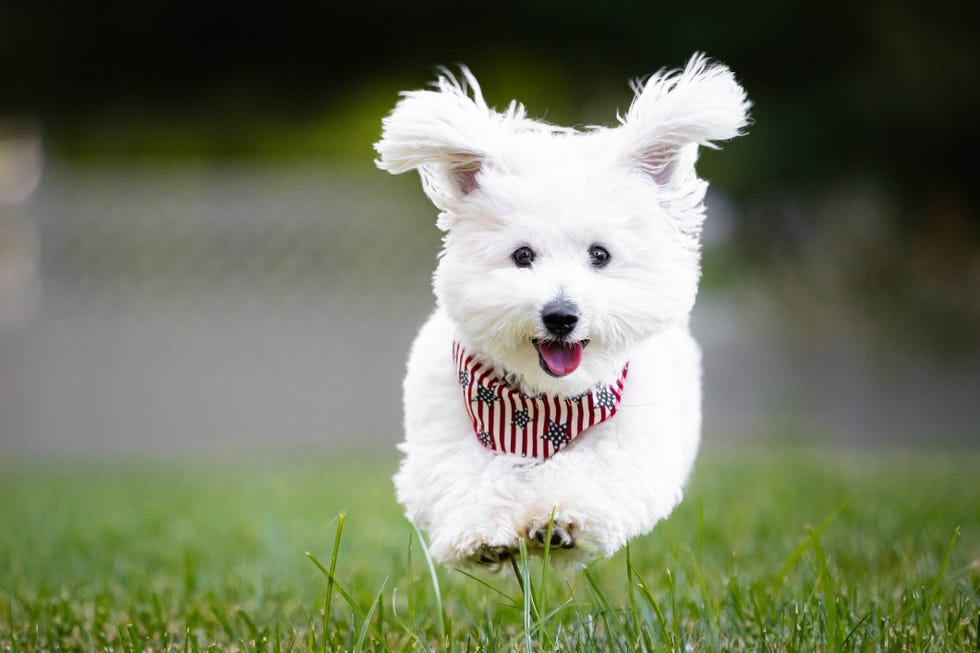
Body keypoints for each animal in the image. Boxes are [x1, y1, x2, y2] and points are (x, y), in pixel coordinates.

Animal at [376, 54, 752, 564]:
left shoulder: (631, 440)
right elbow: (469, 474)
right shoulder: (442, 437)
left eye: (599, 254)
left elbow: (593, 471)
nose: (560, 316)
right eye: (522, 255)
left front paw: (558, 520)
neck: (541, 408)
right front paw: (484, 532)